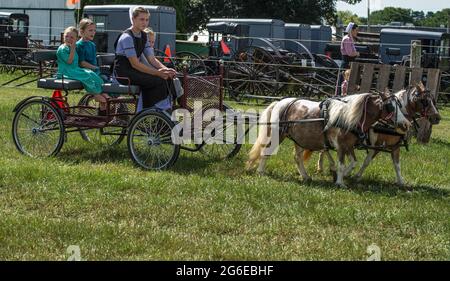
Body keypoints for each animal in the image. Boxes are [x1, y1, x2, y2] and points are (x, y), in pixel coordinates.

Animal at [246, 93, 412, 187]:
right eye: (390, 107)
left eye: (400, 105)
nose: (406, 124)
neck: (349, 117)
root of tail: (280, 102)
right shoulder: (341, 146)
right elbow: (341, 163)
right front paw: (340, 182)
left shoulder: (349, 145)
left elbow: (353, 162)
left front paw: (340, 175)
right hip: (277, 134)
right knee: (266, 152)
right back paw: (261, 171)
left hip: (299, 139)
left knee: (297, 157)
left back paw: (305, 176)